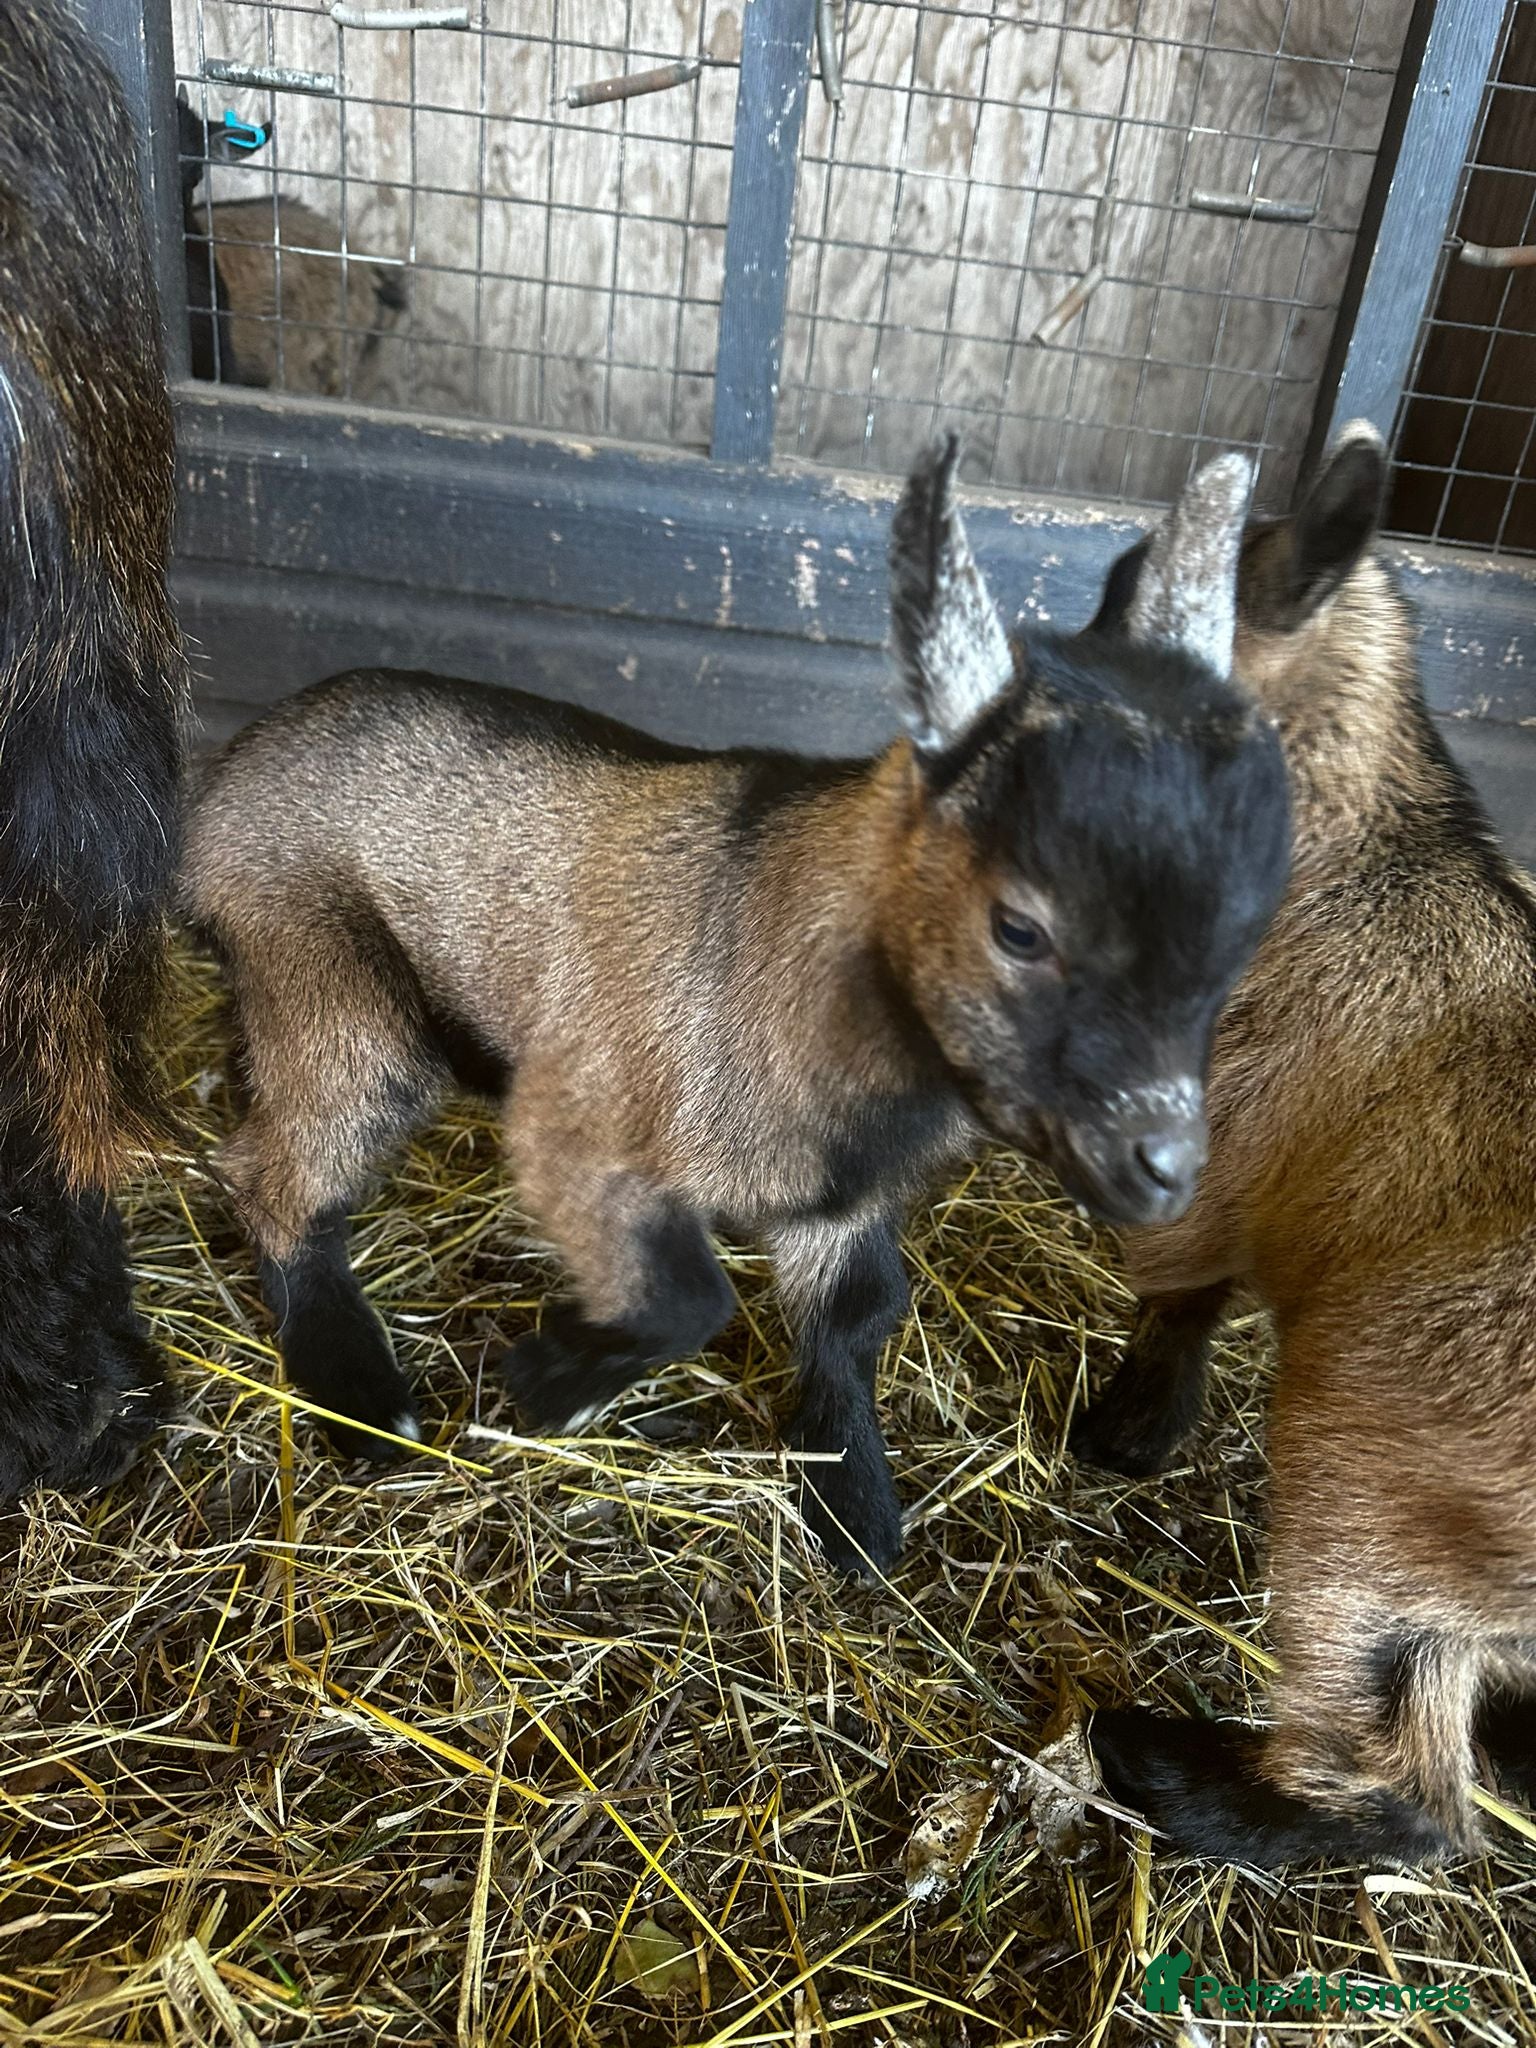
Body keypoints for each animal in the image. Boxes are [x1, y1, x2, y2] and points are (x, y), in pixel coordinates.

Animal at [180, 438, 1289, 1574]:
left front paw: (854, 1506)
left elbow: (856, 1315)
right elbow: (693, 1296)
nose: (1164, 1167)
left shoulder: (842, 1204)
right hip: (325, 973)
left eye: (1246, 918)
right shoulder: (591, 1123)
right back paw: (363, 1399)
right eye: (1020, 926)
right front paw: (550, 1381)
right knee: (274, 1170)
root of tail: (226, 780)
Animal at [1077, 424, 1536, 1865]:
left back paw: (1157, 1765)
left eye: (1135, 602)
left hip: (1374, 1463)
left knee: (1400, 1786)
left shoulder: (1199, 1165)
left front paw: (1127, 1432)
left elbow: (1181, 1296)